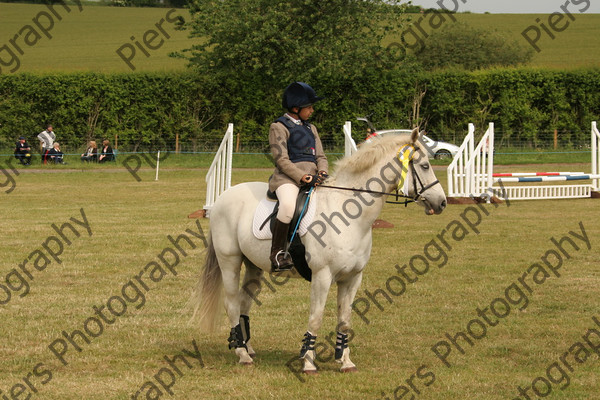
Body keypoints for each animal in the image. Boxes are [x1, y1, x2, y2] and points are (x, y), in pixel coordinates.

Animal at [191, 129, 446, 376]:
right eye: (425, 165)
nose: (442, 203)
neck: (348, 212)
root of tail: (223, 197)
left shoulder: (352, 278)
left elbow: (344, 321)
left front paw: (345, 362)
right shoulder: (322, 276)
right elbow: (316, 318)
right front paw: (308, 363)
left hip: (254, 265)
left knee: (245, 302)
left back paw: (248, 347)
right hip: (230, 262)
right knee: (232, 303)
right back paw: (242, 353)